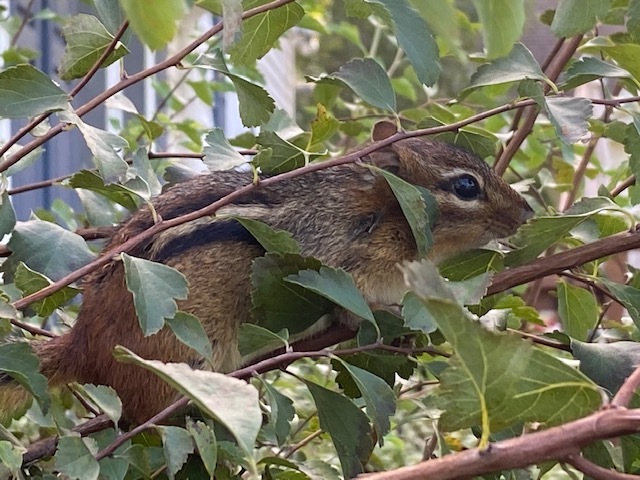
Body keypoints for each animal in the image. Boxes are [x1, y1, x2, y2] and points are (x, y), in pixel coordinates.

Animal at [0, 123, 533, 423]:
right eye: (466, 186)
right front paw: (380, 320)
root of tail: (83, 342)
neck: (385, 214)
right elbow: (345, 300)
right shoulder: (328, 257)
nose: (527, 212)